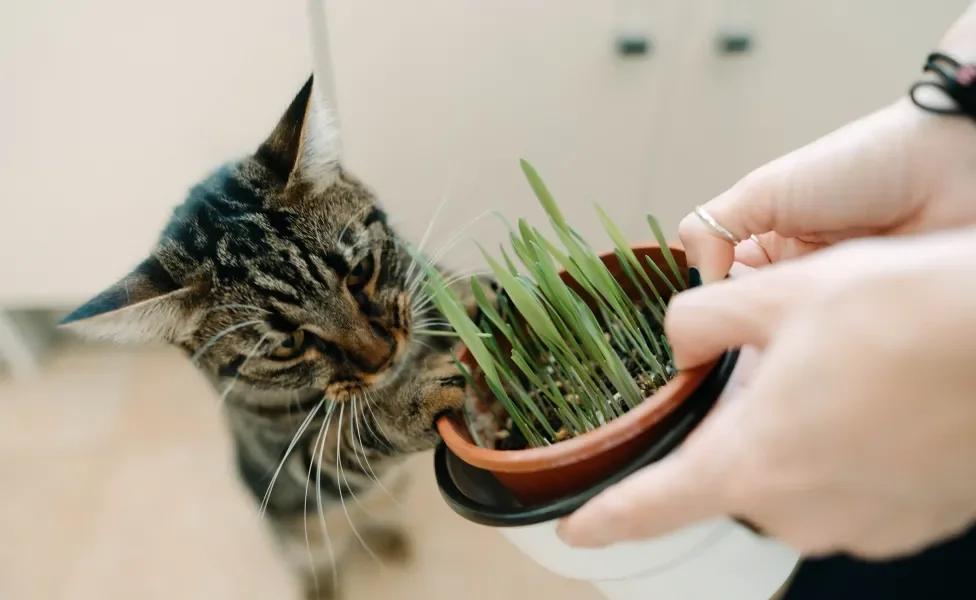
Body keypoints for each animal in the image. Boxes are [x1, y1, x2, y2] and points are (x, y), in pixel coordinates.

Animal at [59, 76, 496, 600]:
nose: (383, 356)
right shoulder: (292, 468)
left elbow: (441, 288)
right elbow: (347, 442)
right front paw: (413, 403)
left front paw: (480, 300)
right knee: (319, 559)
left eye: (359, 273)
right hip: (298, 535)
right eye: (287, 345)